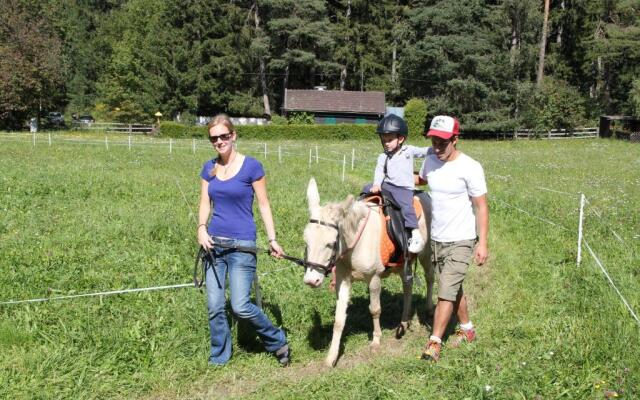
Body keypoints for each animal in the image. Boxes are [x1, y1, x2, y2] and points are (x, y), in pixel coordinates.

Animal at [304, 180, 436, 368]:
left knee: (430, 277)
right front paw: (332, 356)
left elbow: (375, 309)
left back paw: (429, 308)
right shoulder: (343, 280)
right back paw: (403, 322)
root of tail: (423, 194)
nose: (311, 280)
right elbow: (339, 320)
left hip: (425, 253)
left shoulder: (374, 279)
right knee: (408, 286)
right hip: (404, 263)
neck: (355, 243)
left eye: (330, 244)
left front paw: (376, 340)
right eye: (306, 241)